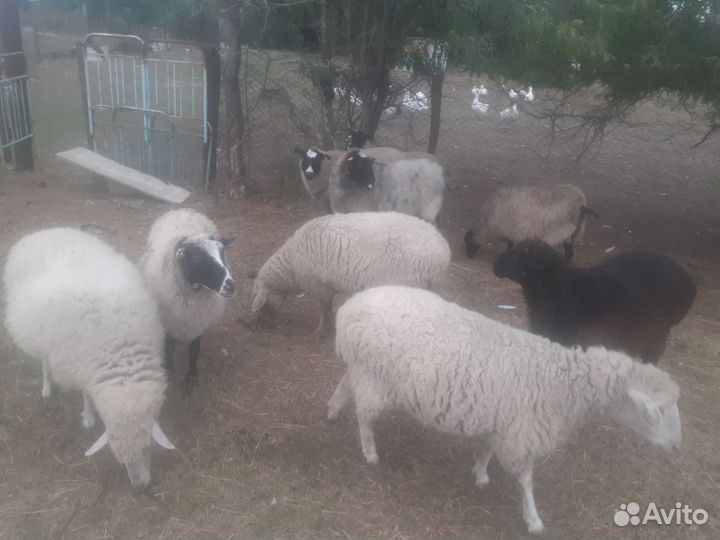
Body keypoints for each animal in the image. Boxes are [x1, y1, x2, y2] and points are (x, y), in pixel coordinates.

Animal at [3, 228, 176, 490]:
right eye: (117, 456)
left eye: (147, 447)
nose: (140, 488)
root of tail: (43, 231)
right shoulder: (82, 365)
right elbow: (86, 393)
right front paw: (89, 416)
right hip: (41, 335)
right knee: (44, 361)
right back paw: (47, 386)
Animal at [140, 209, 235, 391]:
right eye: (197, 258)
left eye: (223, 253)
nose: (230, 285)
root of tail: (184, 210)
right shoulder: (168, 322)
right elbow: (169, 348)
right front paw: (169, 372)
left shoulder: (200, 323)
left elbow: (194, 350)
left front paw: (191, 376)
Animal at [251, 212, 450, 338]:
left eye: (261, 302)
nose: (260, 325)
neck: (291, 265)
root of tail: (444, 250)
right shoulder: (327, 286)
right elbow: (328, 307)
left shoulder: (319, 286)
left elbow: (323, 308)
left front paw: (319, 330)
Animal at [328, 285, 681, 534]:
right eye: (658, 411)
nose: (676, 447)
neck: (562, 384)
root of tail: (349, 308)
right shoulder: (521, 433)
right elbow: (526, 480)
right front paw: (533, 519)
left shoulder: (502, 421)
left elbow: (486, 448)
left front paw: (481, 474)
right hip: (374, 377)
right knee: (364, 416)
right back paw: (370, 452)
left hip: (364, 369)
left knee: (346, 385)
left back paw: (332, 410)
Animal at [464, 183, 598, 259]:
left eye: (467, 242)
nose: (468, 257)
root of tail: (580, 205)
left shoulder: (510, 231)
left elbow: (509, 246)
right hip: (570, 231)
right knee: (569, 252)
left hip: (555, 232)